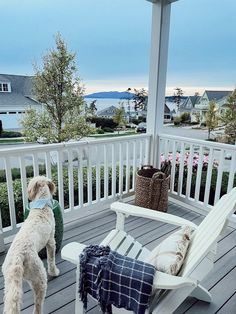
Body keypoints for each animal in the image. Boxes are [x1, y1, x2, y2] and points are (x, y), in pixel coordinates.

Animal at [2, 177, 60, 314]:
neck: (41, 207)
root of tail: (17, 258)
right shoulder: (51, 240)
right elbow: (51, 260)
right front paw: (54, 271)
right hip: (39, 276)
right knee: (38, 304)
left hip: (10, 282)